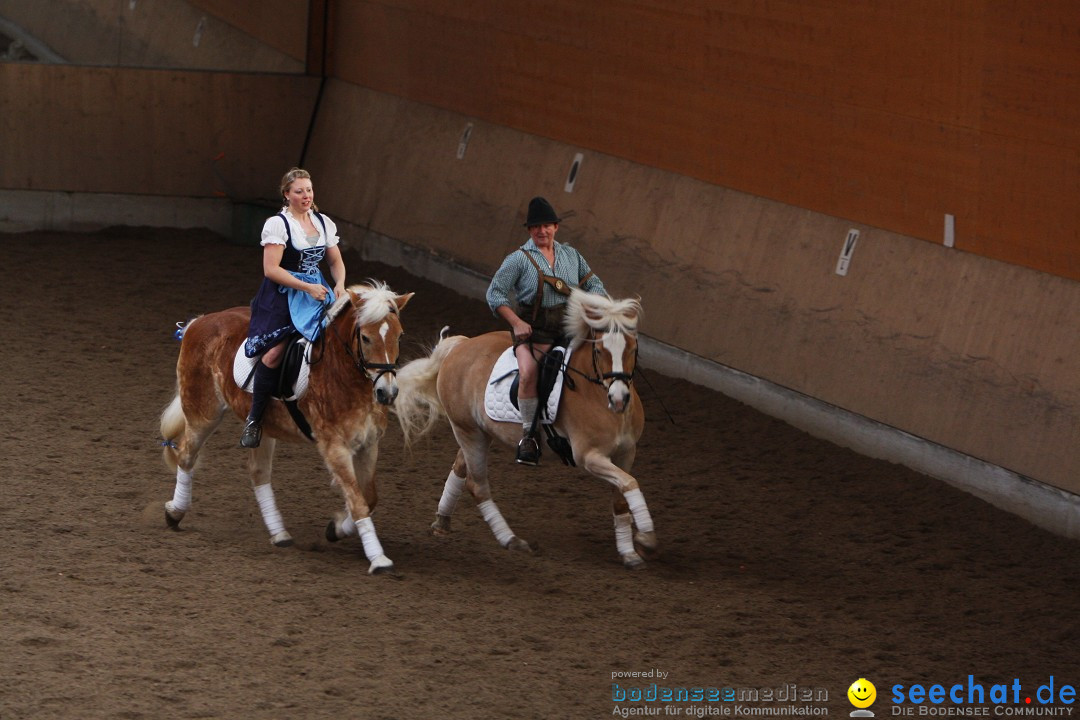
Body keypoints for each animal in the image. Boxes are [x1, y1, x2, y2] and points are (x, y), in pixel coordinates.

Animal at [159, 280, 412, 574]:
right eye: (366, 338)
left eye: (399, 336)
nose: (387, 393)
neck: (345, 373)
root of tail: (199, 322)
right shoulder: (334, 446)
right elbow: (358, 501)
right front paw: (378, 558)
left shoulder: (369, 444)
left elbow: (369, 498)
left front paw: (336, 529)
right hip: (203, 412)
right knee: (186, 455)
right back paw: (174, 513)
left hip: (263, 426)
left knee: (258, 472)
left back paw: (279, 533)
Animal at [393, 287, 652, 569]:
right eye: (599, 351)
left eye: (633, 348)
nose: (619, 399)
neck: (593, 392)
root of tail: (459, 346)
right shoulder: (589, 457)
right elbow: (630, 483)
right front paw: (647, 536)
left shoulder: (626, 452)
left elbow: (622, 496)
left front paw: (629, 551)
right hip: (468, 432)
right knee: (477, 486)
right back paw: (511, 539)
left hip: (477, 432)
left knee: (460, 469)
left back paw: (442, 520)